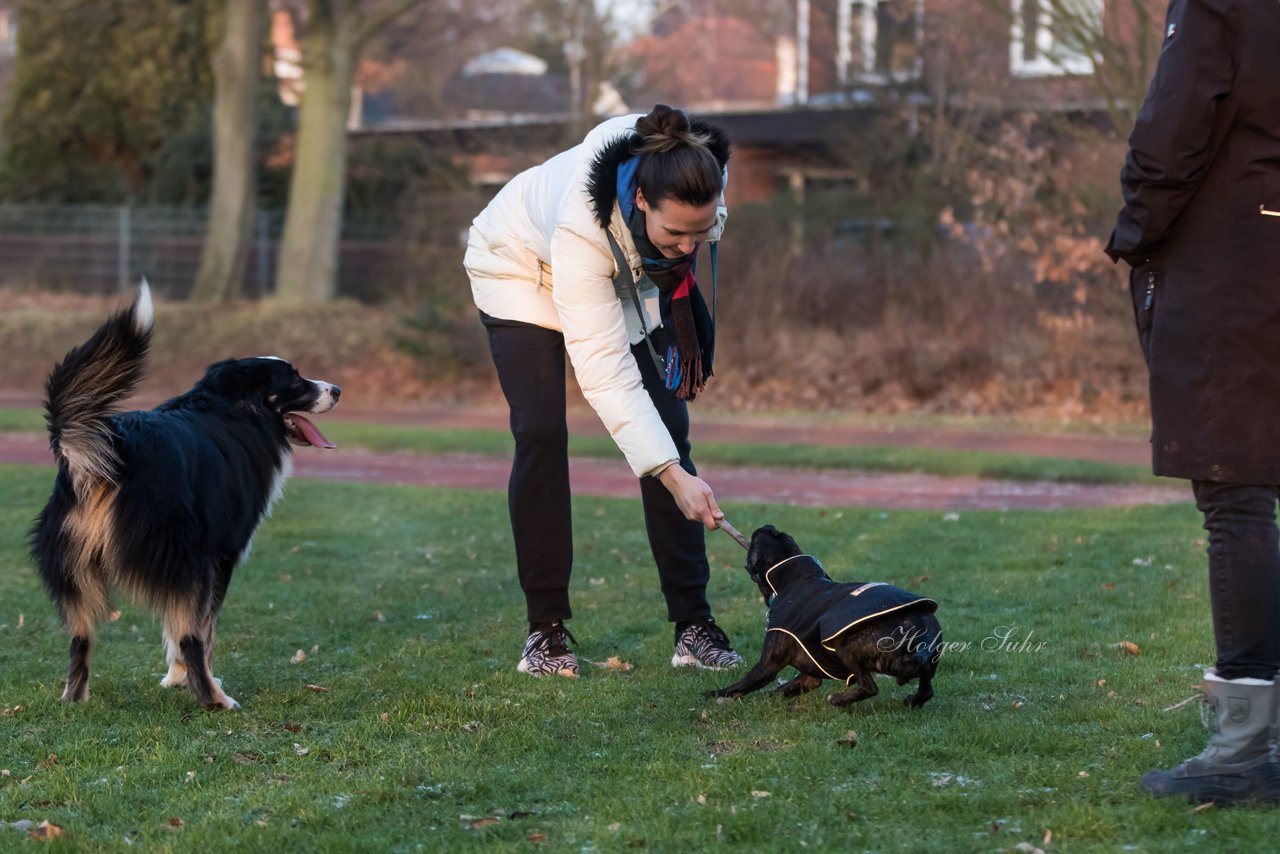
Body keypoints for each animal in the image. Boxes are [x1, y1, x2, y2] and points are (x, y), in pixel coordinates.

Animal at [30, 284, 340, 711]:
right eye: (294, 379)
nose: (337, 390)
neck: (231, 406)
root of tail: (117, 446)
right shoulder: (218, 556)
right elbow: (200, 631)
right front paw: (194, 679)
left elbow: (174, 627)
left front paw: (176, 678)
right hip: (186, 555)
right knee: (193, 636)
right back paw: (216, 700)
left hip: (74, 569)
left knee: (80, 641)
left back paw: (74, 699)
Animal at [711, 524, 942, 711]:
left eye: (753, 545)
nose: (767, 525)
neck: (795, 578)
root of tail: (919, 639)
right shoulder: (809, 677)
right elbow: (784, 688)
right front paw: (767, 697)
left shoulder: (767, 665)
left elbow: (743, 684)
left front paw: (714, 695)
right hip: (927, 665)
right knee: (927, 689)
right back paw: (913, 700)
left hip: (847, 647)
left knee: (869, 687)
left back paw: (839, 700)